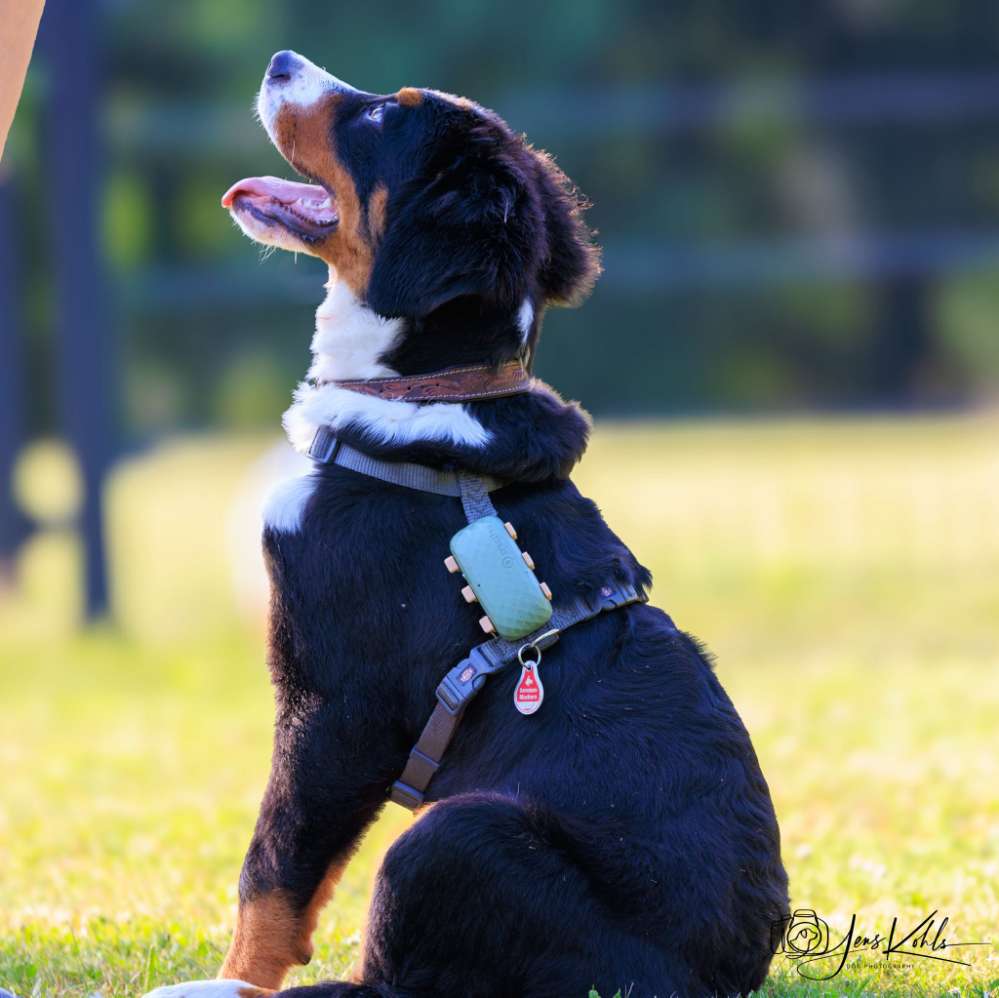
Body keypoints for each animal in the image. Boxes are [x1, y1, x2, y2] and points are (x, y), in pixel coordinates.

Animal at [146, 52, 788, 998]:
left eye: (382, 117)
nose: (280, 62)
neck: (422, 394)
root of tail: (710, 979)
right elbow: (308, 871)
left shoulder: (336, 705)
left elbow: (274, 865)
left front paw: (237, 981)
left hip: (455, 834)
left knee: (390, 979)